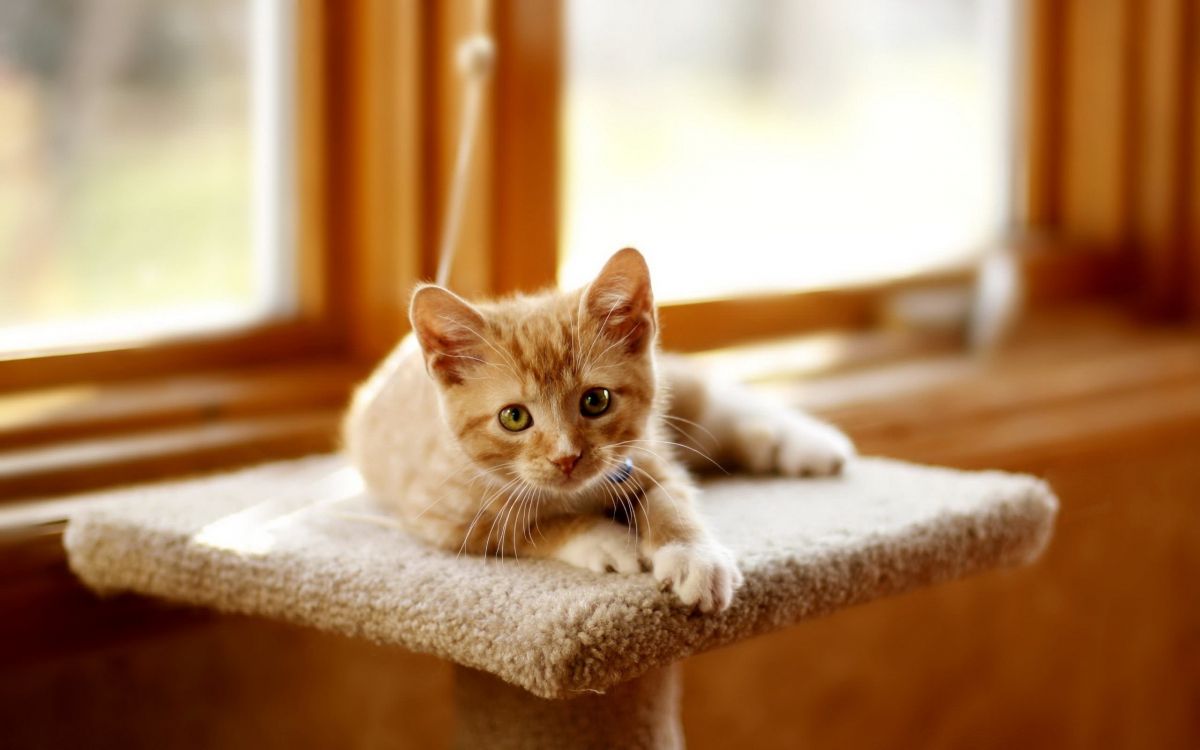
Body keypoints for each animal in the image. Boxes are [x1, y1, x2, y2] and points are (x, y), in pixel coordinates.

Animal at [345, 248, 854, 612]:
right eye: (514, 417)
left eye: (596, 400)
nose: (566, 456)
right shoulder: (445, 524)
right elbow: (537, 527)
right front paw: (605, 538)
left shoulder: (647, 453)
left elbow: (671, 499)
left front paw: (694, 556)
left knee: (716, 397)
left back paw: (813, 444)